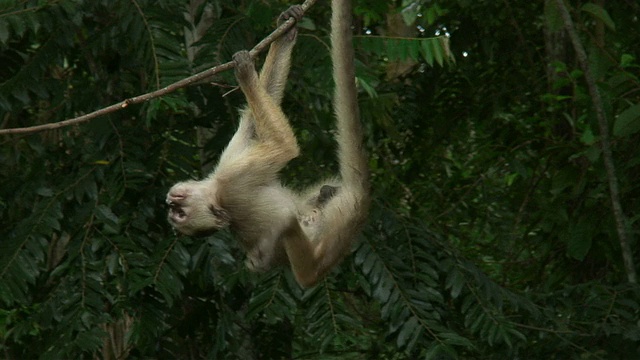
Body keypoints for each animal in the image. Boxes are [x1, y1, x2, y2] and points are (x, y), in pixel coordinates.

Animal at [165, 0, 370, 286]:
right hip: (335, 227)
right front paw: (245, 74)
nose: (171, 206)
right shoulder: (232, 182)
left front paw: (286, 31)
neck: (216, 191)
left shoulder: (228, 168)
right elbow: (284, 148)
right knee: (294, 253)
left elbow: (253, 124)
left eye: (178, 213)